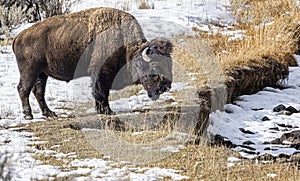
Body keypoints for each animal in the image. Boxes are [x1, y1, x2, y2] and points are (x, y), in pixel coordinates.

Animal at [13, 7, 173, 120]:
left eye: (170, 65)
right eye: (154, 66)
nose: (166, 86)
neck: (126, 47)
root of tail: (19, 36)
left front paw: (102, 110)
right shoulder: (101, 73)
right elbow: (101, 92)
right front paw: (107, 111)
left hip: (41, 73)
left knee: (38, 92)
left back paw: (49, 113)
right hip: (30, 71)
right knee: (23, 89)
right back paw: (29, 115)